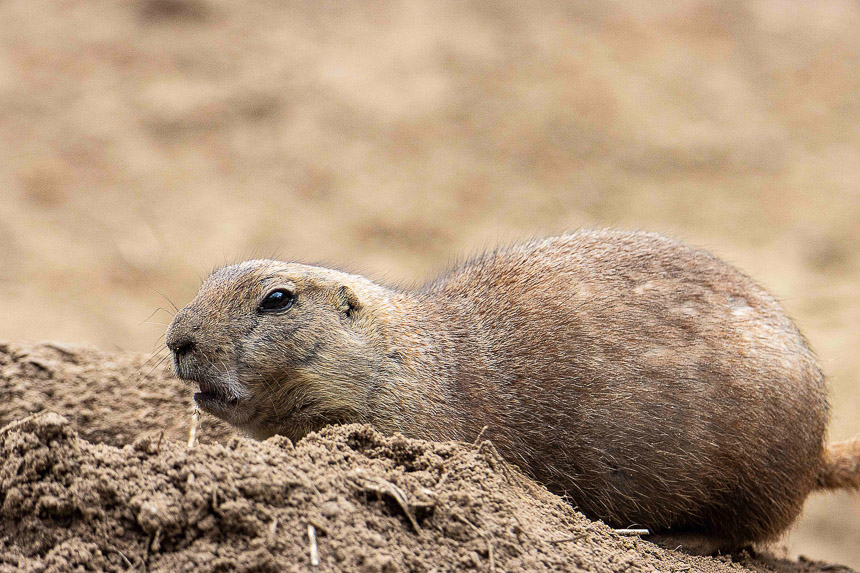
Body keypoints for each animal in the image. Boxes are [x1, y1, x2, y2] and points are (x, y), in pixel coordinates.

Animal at [165, 229, 860, 553]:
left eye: (277, 299)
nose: (176, 339)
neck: (411, 358)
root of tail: (817, 453)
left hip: (758, 470)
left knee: (747, 529)